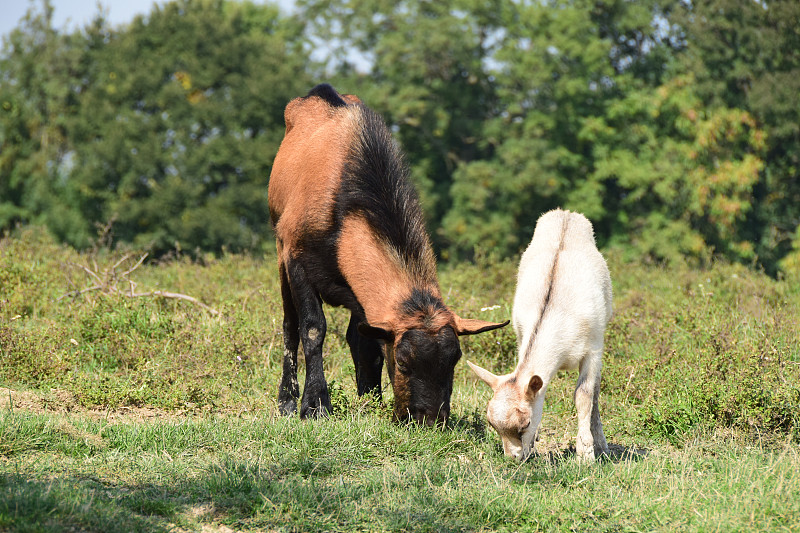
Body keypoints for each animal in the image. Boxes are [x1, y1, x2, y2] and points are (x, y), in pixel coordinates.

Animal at [268, 83, 506, 424]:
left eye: (454, 361)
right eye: (403, 362)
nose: (428, 419)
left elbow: (365, 341)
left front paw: (370, 400)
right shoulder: (297, 259)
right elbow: (312, 328)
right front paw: (314, 405)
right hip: (280, 252)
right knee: (289, 325)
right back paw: (286, 400)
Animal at [468, 210, 612, 460]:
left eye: (524, 424)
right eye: (493, 426)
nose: (513, 458)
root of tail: (565, 213)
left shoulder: (593, 348)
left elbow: (585, 395)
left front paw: (585, 453)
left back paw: (601, 444)